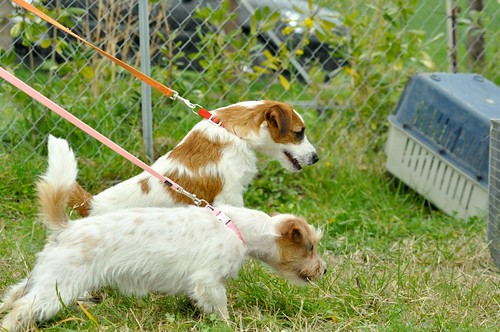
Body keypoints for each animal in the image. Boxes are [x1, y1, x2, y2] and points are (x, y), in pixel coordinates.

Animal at [0, 134, 326, 330]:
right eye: (310, 247)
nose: (323, 270)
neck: (238, 229)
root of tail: (67, 227)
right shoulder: (208, 282)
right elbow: (220, 307)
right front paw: (228, 324)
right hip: (59, 287)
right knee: (23, 308)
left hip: (46, 277)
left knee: (15, 293)